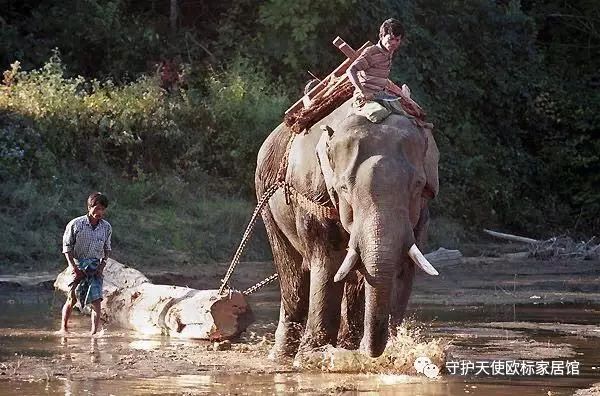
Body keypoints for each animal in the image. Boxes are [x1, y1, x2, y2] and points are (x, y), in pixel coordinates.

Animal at [254, 98, 440, 358]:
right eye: (343, 188)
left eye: (418, 185)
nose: (371, 351)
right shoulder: (314, 201)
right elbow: (328, 263)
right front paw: (312, 356)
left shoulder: (422, 213)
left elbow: (404, 266)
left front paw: (391, 350)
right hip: (266, 200)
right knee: (292, 275)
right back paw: (282, 355)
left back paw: (345, 344)